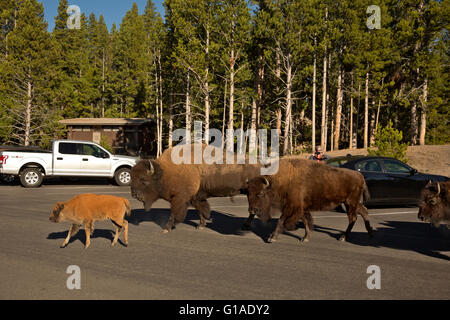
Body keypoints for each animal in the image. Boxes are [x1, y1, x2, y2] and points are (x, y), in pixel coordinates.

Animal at [130, 144, 264, 232]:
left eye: (143, 179)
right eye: (132, 177)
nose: (135, 194)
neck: (165, 172)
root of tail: (261, 164)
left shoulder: (179, 198)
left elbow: (174, 212)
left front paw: (166, 228)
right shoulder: (196, 197)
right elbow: (201, 210)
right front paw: (201, 225)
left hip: (252, 193)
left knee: (253, 210)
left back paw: (246, 225)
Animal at [244, 159, 374, 244]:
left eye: (261, 193)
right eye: (247, 193)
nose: (252, 210)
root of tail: (359, 175)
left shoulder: (291, 206)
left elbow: (281, 220)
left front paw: (272, 237)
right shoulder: (302, 208)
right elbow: (306, 222)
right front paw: (305, 238)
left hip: (350, 203)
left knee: (353, 218)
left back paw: (343, 237)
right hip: (350, 203)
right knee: (364, 211)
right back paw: (370, 233)